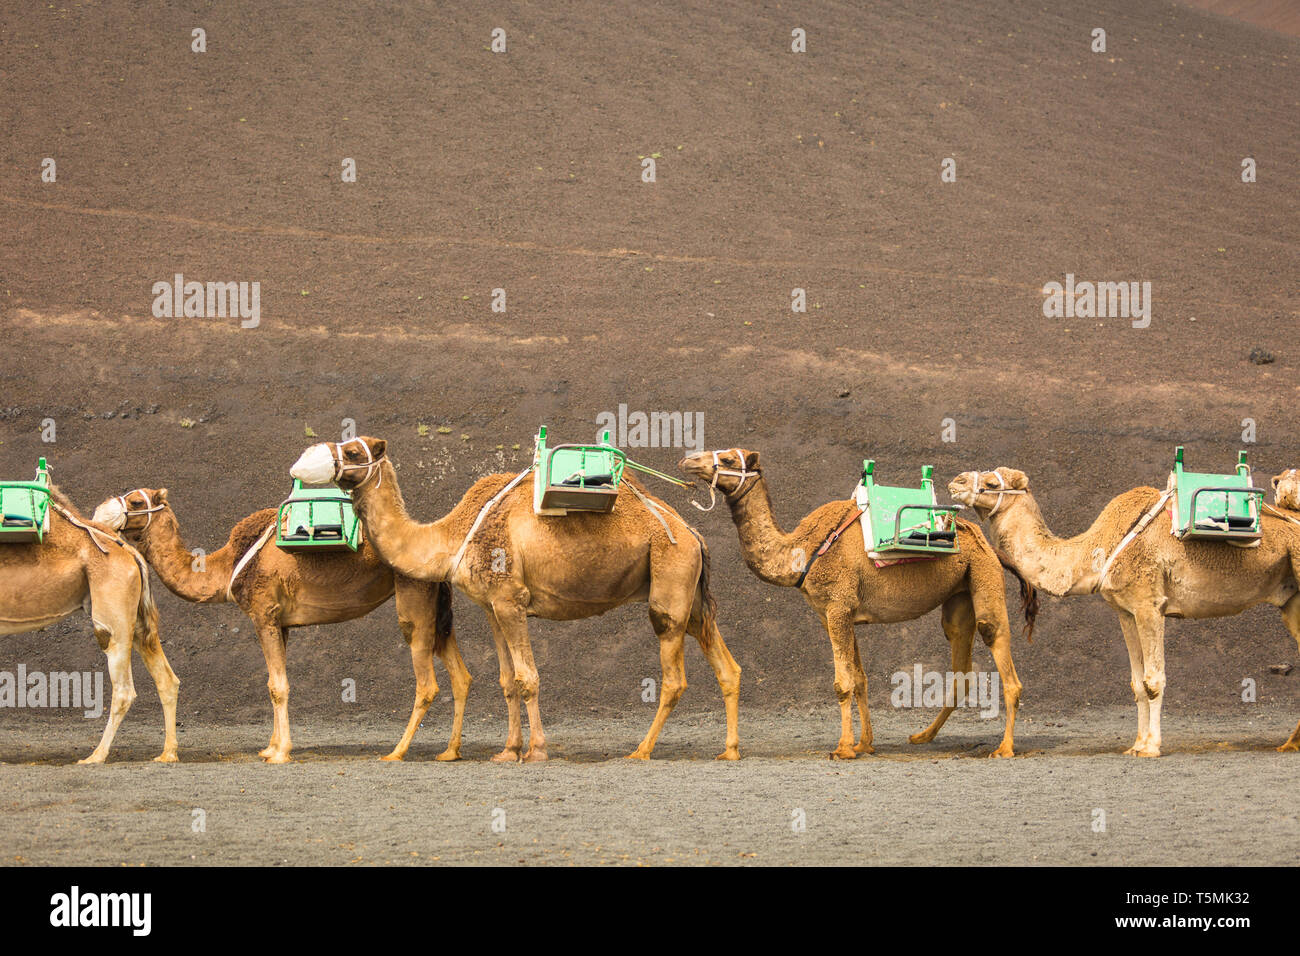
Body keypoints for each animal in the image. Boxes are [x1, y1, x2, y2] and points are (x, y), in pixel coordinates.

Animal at [0, 481, 178, 764]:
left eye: (138, 502)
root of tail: (127, 551)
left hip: (112, 617)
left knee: (124, 689)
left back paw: (95, 756)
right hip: (136, 621)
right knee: (167, 679)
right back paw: (167, 753)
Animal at [91, 486, 467, 764]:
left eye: (136, 501)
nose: (99, 513)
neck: (226, 566)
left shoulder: (264, 614)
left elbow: (277, 686)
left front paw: (280, 753)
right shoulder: (281, 623)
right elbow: (275, 681)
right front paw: (270, 747)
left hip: (413, 596)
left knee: (427, 682)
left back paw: (396, 752)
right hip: (438, 609)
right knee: (461, 676)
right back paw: (449, 752)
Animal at [292, 434, 743, 764]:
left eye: (352, 451)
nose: (301, 464)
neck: (453, 536)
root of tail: (692, 532)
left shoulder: (512, 598)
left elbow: (529, 677)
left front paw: (537, 750)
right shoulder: (493, 606)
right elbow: (508, 680)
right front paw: (508, 751)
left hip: (669, 582)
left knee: (673, 676)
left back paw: (641, 750)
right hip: (691, 597)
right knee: (727, 666)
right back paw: (730, 750)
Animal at [676, 452, 1029, 759]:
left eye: (728, 459)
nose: (688, 459)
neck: (801, 551)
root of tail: (991, 547)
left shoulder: (838, 607)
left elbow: (842, 683)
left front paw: (843, 748)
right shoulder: (834, 614)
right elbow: (859, 679)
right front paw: (865, 745)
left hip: (984, 575)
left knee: (1001, 654)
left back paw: (1005, 748)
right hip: (959, 597)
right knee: (961, 668)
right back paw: (922, 736)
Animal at [946, 468, 1300, 759]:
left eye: (993, 483)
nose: (956, 482)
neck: (1097, 550)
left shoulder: (1149, 603)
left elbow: (1154, 680)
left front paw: (1152, 748)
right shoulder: (1126, 611)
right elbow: (1136, 683)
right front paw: (1137, 745)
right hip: (1290, 600)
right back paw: (1289, 744)